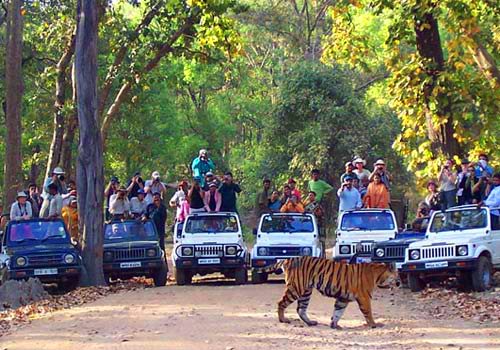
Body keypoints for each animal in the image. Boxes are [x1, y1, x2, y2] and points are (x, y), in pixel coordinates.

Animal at [264, 256, 396, 330]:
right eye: (396, 275)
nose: (399, 283)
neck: (377, 275)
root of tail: (288, 259)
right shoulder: (364, 297)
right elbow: (368, 312)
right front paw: (374, 324)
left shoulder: (343, 298)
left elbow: (338, 312)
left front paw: (334, 325)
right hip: (296, 288)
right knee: (281, 303)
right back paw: (283, 320)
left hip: (306, 291)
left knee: (301, 309)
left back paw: (311, 322)